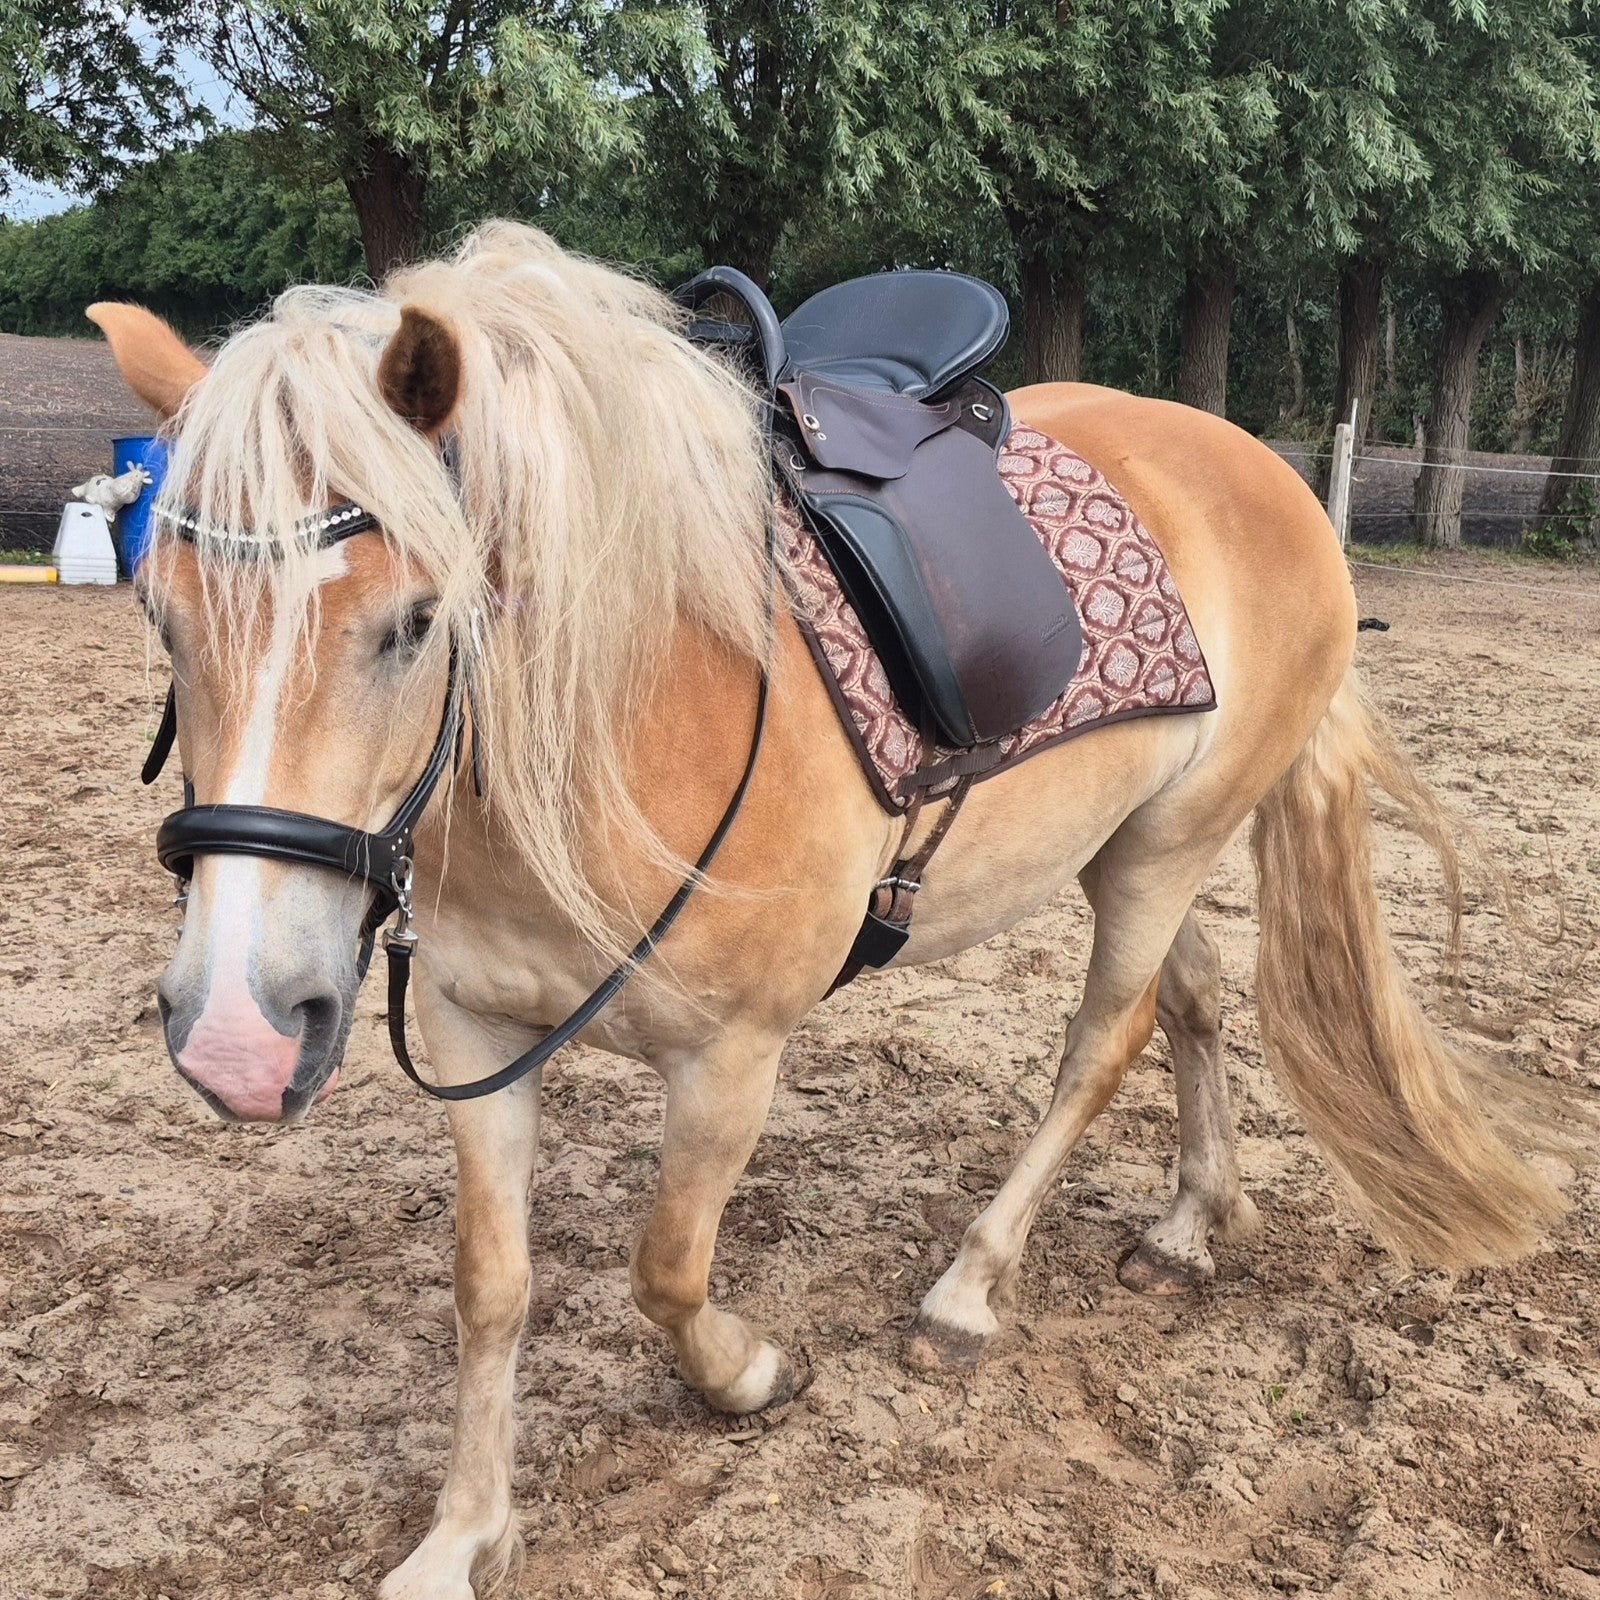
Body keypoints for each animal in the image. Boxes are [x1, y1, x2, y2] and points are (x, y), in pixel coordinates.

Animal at [90, 222, 1567, 1600]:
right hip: (1128, 843)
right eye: (161, 613)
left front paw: (745, 1377)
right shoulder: (472, 1038)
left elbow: (666, 1269)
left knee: (1105, 1042)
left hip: (1164, 851)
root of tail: (1266, 473)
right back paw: (1188, 1223)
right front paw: (461, 1537)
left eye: (411, 620)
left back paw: (970, 1289)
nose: (235, 1035)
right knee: (1192, 1003)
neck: (622, 722)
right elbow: (490, 1289)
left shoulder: (731, 1056)